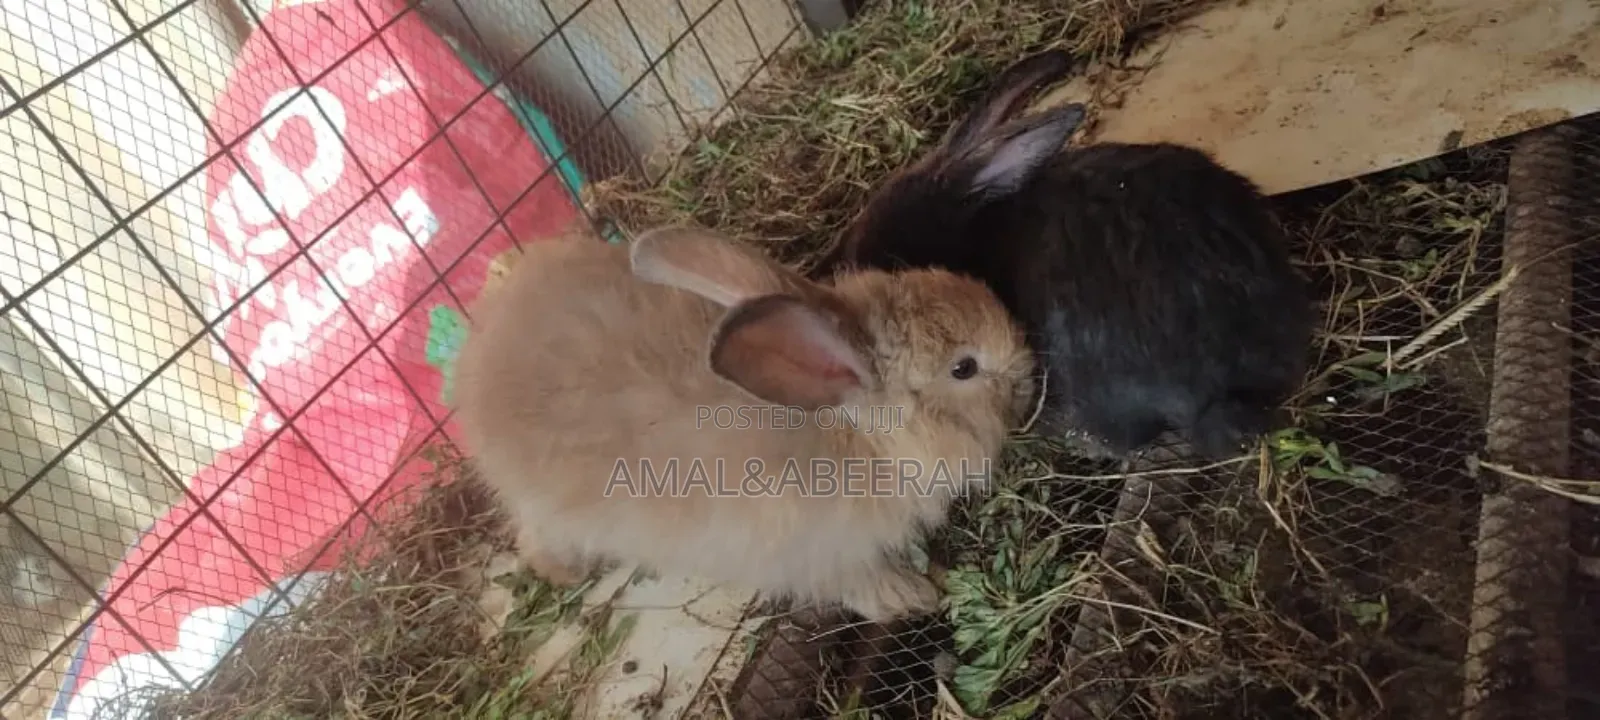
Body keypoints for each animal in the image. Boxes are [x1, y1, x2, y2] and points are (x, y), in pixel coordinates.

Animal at [449, 222, 1036, 622]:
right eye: (964, 368)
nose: (1029, 376)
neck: (862, 438)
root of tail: (483, 342)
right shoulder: (818, 554)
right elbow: (861, 583)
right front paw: (915, 596)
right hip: (548, 505)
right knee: (535, 535)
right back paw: (565, 571)